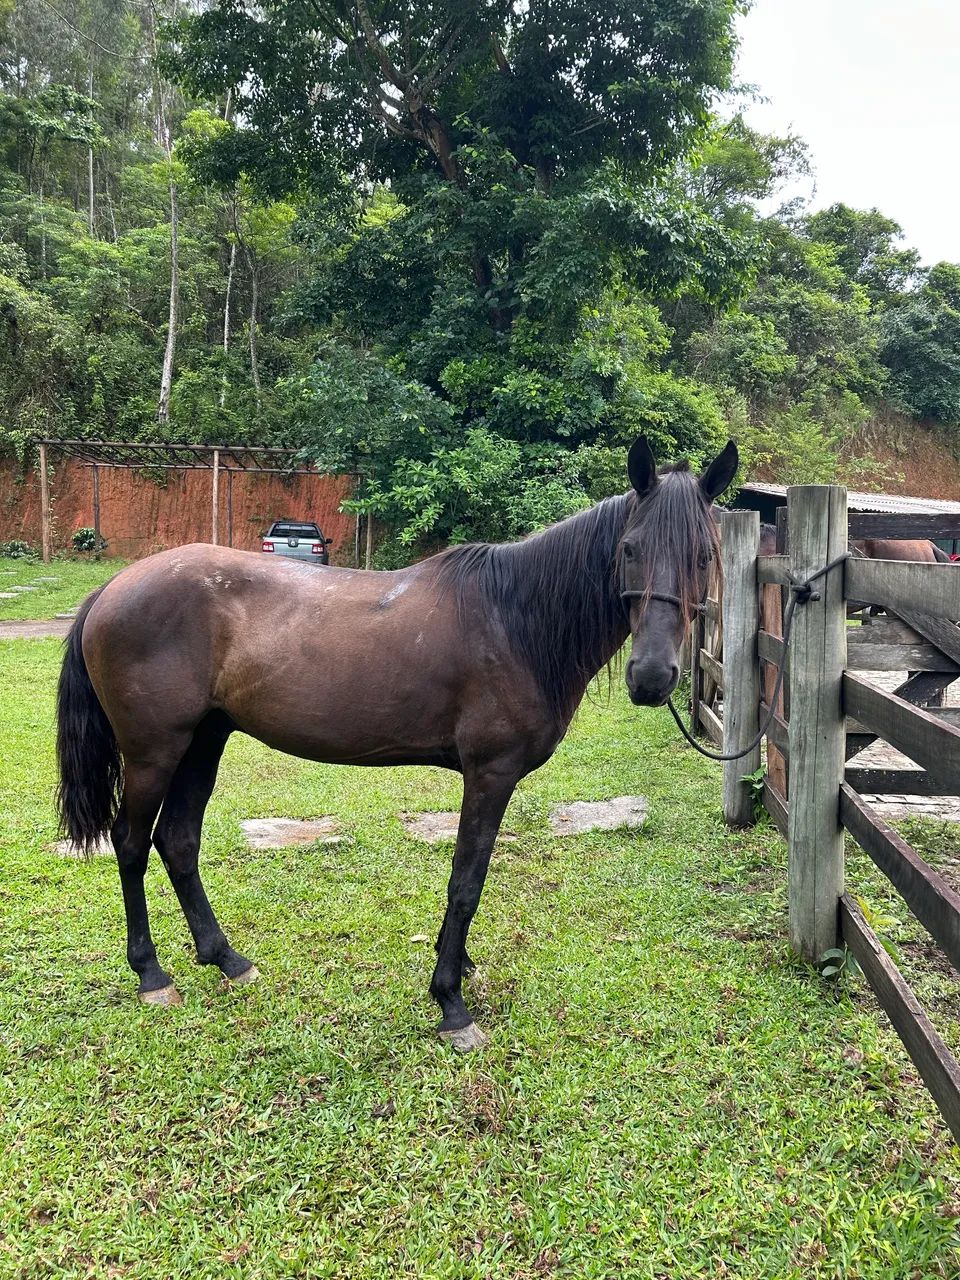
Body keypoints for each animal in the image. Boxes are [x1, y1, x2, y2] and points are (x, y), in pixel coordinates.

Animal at [56, 436, 738, 1050]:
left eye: (705, 556)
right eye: (629, 549)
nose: (651, 678)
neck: (514, 621)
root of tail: (112, 589)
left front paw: (456, 970)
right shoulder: (489, 775)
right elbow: (467, 881)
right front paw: (451, 1003)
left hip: (204, 740)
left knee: (178, 841)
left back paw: (227, 959)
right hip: (154, 752)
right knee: (130, 843)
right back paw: (151, 975)